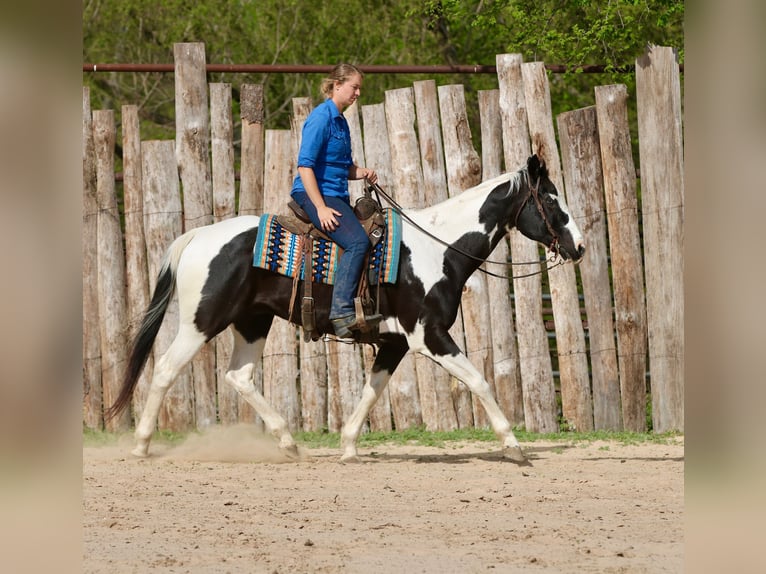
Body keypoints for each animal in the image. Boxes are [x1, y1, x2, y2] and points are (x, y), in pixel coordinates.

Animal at [107, 154, 585, 463]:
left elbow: (373, 390)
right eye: (552, 200)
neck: (438, 248)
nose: (578, 247)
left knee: (239, 376)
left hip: (253, 321)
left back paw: (289, 443)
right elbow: (479, 381)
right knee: (165, 369)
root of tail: (197, 237)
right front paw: (514, 447)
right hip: (201, 322)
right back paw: (142, 445)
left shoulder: (394, 343)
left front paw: (349, 445)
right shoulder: (428, 335)